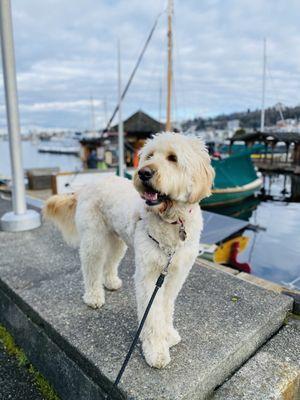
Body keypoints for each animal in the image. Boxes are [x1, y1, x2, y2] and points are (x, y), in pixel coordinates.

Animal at [43, 132, 214, 368]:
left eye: (173, 158)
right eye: (149, 155)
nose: (144, 172)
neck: (171, 220)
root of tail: (88, 184)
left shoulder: (176, 274)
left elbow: (166, 307)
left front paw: (168, 334)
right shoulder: (149, 275)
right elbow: (152, 314)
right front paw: (156, 349)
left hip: (118, 240)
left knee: (110, 261)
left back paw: (111, 281)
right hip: (94, 237)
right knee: (91, 266)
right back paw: (94, 296)